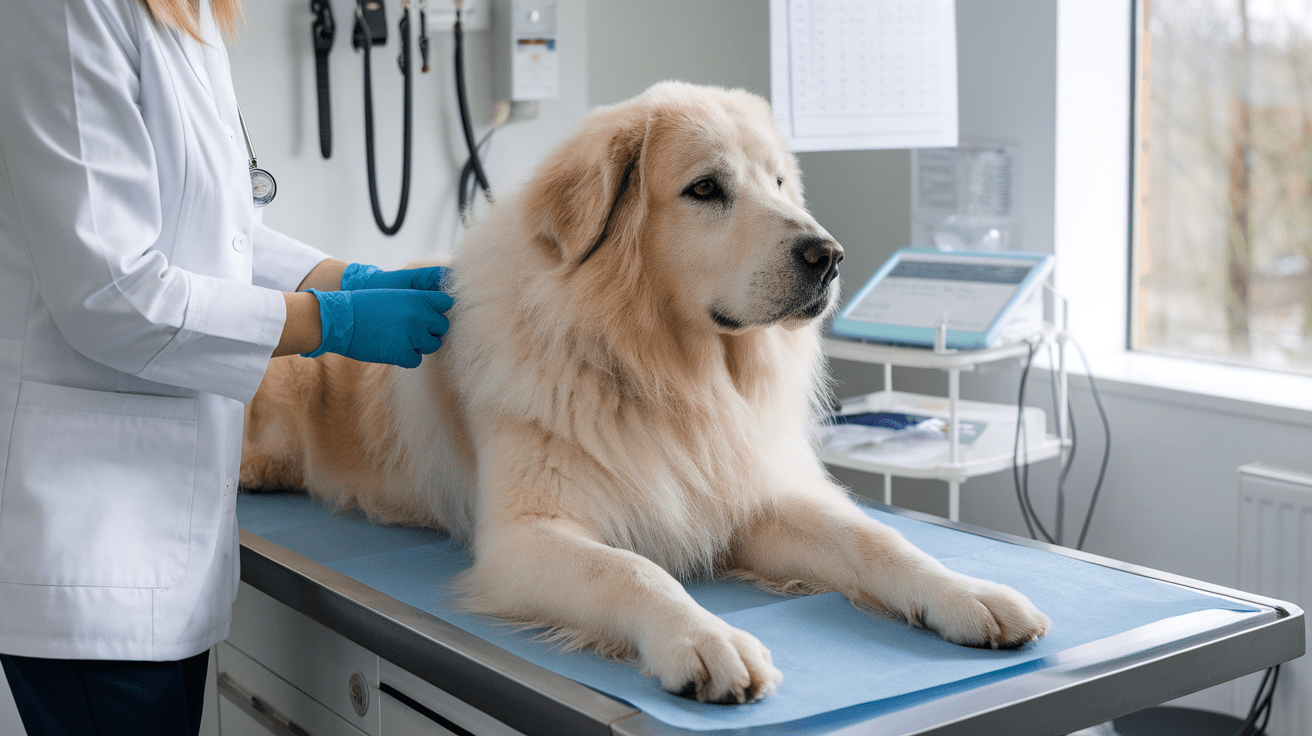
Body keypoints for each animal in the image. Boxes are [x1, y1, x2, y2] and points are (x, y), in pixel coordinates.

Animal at [241, 81, 1049, 708]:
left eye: (778, 184)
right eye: (706, 189)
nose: (828, 255)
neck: (665, 372)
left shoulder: (743, 498)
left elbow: (874, 538)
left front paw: (966, 593)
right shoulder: (526, 539)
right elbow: (633, 570)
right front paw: (705, 639)